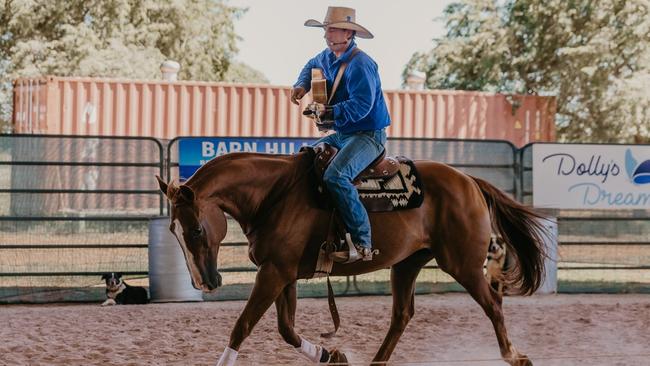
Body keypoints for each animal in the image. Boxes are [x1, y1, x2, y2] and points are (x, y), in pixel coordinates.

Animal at [154, 149, 544, 366]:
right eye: (173, 230)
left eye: (196, 230)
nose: (205, 283)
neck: (275, 194)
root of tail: (469, 181)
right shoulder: (282, 272)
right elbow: (286, 330)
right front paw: (332, 355)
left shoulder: (274, 273)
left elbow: (243, 326)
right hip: (408, 263)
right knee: (402, 315)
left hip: (461, 263)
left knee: (493, 304)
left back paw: (516, 357)